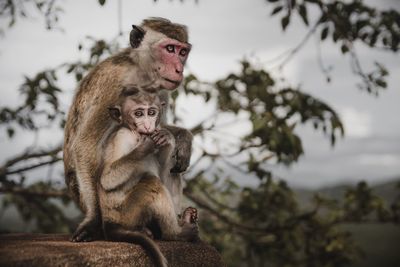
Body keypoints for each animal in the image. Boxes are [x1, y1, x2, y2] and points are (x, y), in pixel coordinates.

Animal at [63, 17, 192, 243]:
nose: (179, 69)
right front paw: (92, 222)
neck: (142, 73)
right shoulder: (114, 82)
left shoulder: (160, 92)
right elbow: (86, 143)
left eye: (182, 52)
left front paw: (184, 138)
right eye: (170, 49)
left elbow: (158, 127)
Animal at [97, 87, 197, 267]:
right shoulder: (122, 136)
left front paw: (170, 138)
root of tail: (108, 224)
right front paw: (146, 145)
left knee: (172, 173)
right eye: (138, 114)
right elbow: (108, 179)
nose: (148, 124)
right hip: (127, 215)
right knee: (152, 182)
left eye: (151, 112)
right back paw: (175, 233)